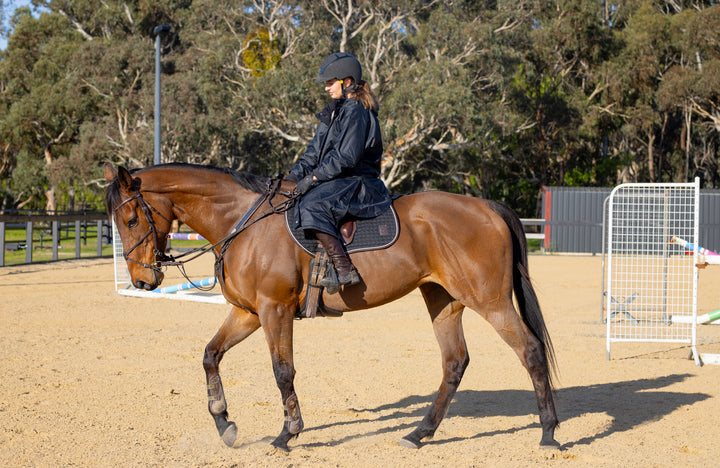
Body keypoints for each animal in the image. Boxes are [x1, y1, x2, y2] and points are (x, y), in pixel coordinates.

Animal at [104, 163, 560, 452]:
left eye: (130, 219)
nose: (141, 281)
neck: (243, 224)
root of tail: (487, 206)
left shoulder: (274, 310)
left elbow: (282, 372)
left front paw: (288, 434)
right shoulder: (248, 313)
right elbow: (210, 355)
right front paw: (224, 423)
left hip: (489, 300)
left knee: (530, 351)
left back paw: (549, 433)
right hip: (443, 299)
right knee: (455, 363)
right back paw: (419, 434)